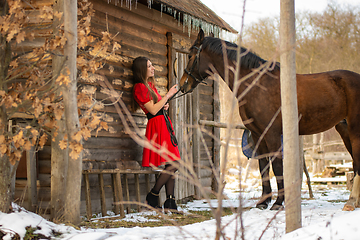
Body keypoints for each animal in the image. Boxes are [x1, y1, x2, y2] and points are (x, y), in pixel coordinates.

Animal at [180, 29, 360, 211]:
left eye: (190, 55)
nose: (182, 85)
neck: (257, 85)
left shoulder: (272, 134)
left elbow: (277, 166)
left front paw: (278, 202)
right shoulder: (257, 134)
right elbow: (263, 166)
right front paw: (263, 201)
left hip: (354, 130)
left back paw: (351, 202)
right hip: (344, 130)